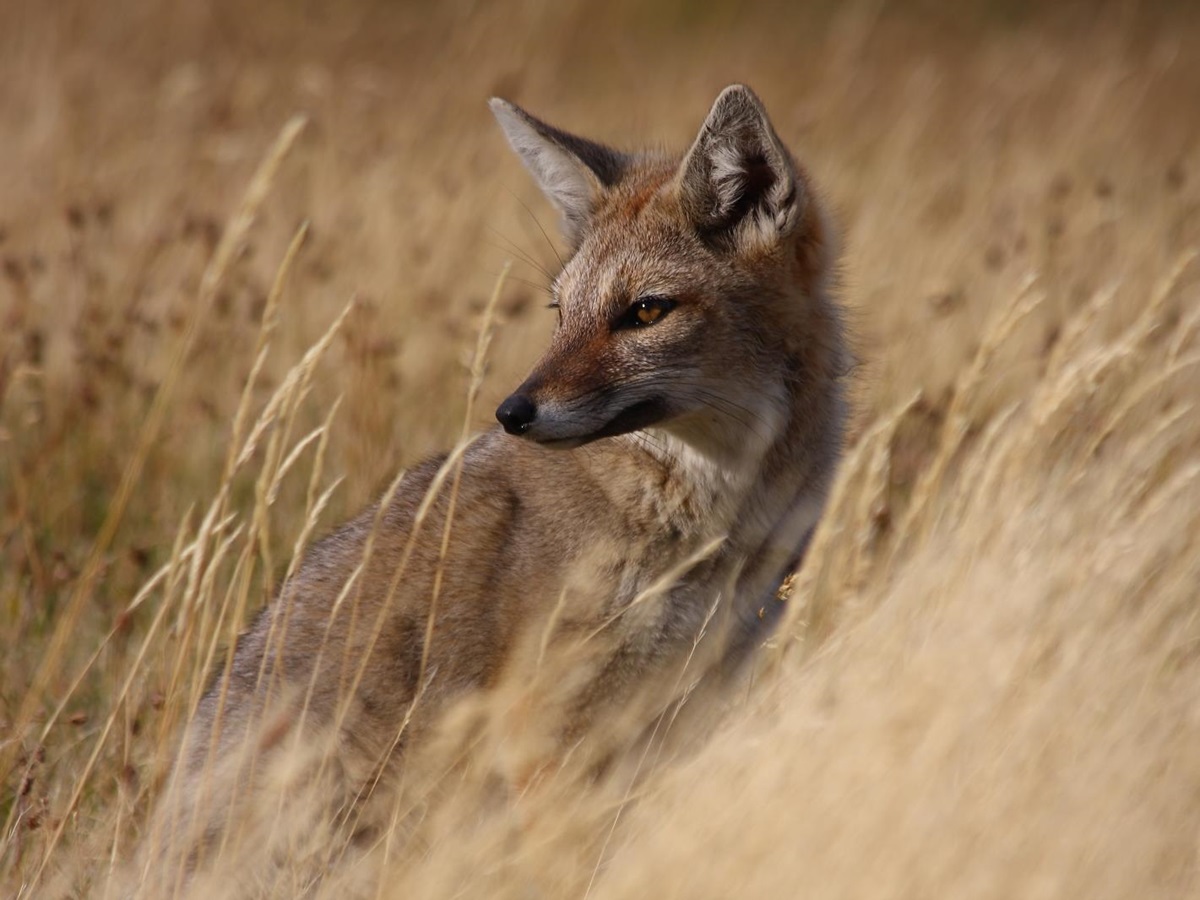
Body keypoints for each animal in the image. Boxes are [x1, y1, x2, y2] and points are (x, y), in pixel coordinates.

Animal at [147, 84, 848, 885]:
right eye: (560, 312)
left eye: (644, 311)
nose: (512, 413)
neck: (719, 523)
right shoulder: (542, 727)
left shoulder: (692, 706)